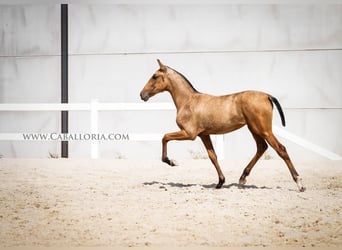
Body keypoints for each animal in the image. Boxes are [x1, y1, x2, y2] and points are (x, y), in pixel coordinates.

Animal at [140, 59, 306, 192]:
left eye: (154, 76)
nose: (142, 95)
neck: (188, 101)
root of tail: (267, 95)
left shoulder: (189, 133)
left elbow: (165, 137)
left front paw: (171, 162)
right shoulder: (204, 135)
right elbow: (213, 156)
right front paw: (220, 182)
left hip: (264, 130)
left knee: (281, 149)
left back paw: (299, 183)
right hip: (254, 129)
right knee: (261, 148)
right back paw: (242, 178)